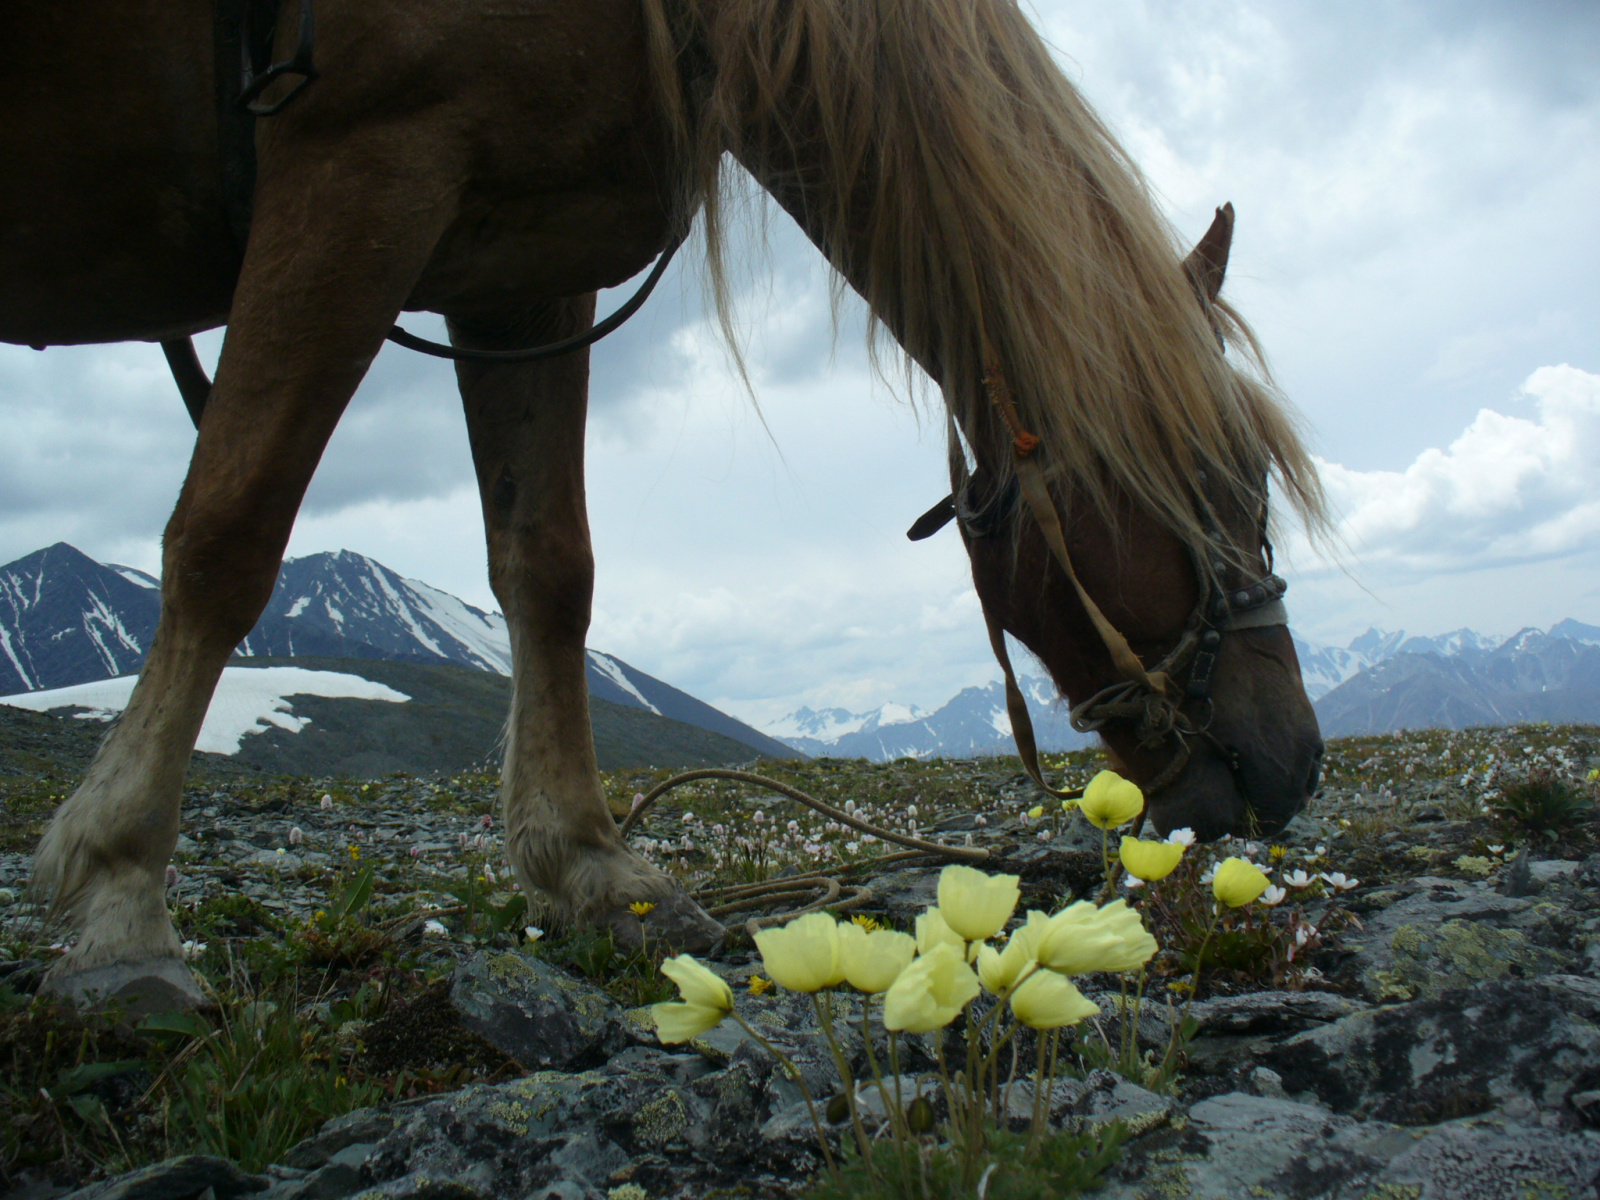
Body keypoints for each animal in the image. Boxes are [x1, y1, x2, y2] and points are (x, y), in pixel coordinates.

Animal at [6, 0, 1331, 1017]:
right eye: (1216, 484)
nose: (1294, 765)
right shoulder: (359, 168)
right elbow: (229, 532)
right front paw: (121, 898)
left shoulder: (519, 257)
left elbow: (547, 565)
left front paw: (593, 869)